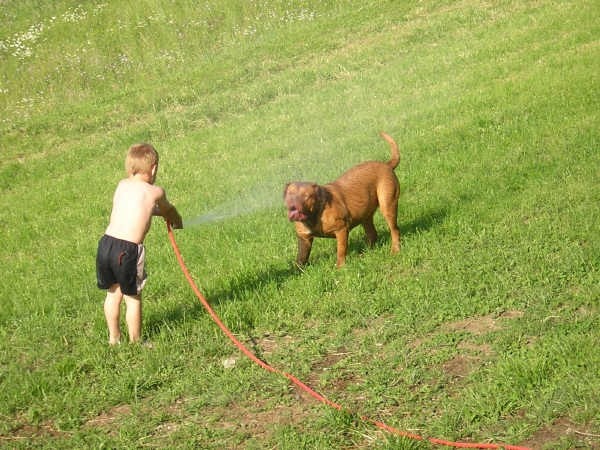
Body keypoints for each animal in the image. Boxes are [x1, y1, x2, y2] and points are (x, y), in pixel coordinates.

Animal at [284, 133, 400, 268]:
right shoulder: (304, 239)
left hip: (388, 205)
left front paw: (340, 267)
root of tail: (387, 165)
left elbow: (341, 250)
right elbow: (301, 259)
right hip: (365, 214)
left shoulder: (341, 230)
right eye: (289, 194)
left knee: (394, 230)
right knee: (372, 233)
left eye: (306, 196)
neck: (314, 215)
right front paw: (298, 270)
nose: (293, 205)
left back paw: (395, 250)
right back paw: (365, 253)